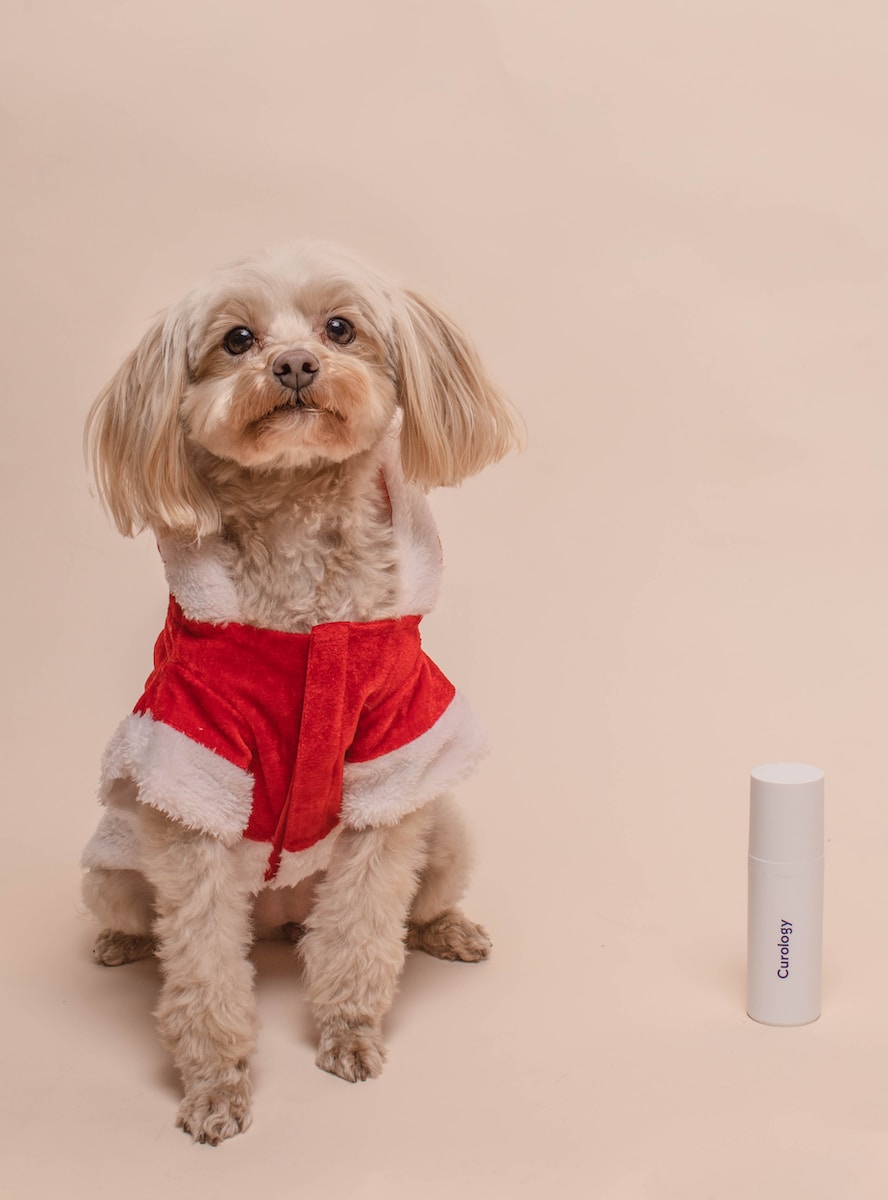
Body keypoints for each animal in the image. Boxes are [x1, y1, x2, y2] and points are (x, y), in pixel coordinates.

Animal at [80, 241, 523, 1142]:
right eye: (238, 339)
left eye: (341, 328)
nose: (293, 364)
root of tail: (281, 917)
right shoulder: (195, 774)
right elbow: (203, 968)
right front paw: (215, 1084)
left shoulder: (391, 760)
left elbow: (363, 930)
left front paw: (348, 1031)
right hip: (112, 869)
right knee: (150, 927)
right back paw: (123, 947)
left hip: (446, 833)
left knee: (402, 911)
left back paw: (448, 930)